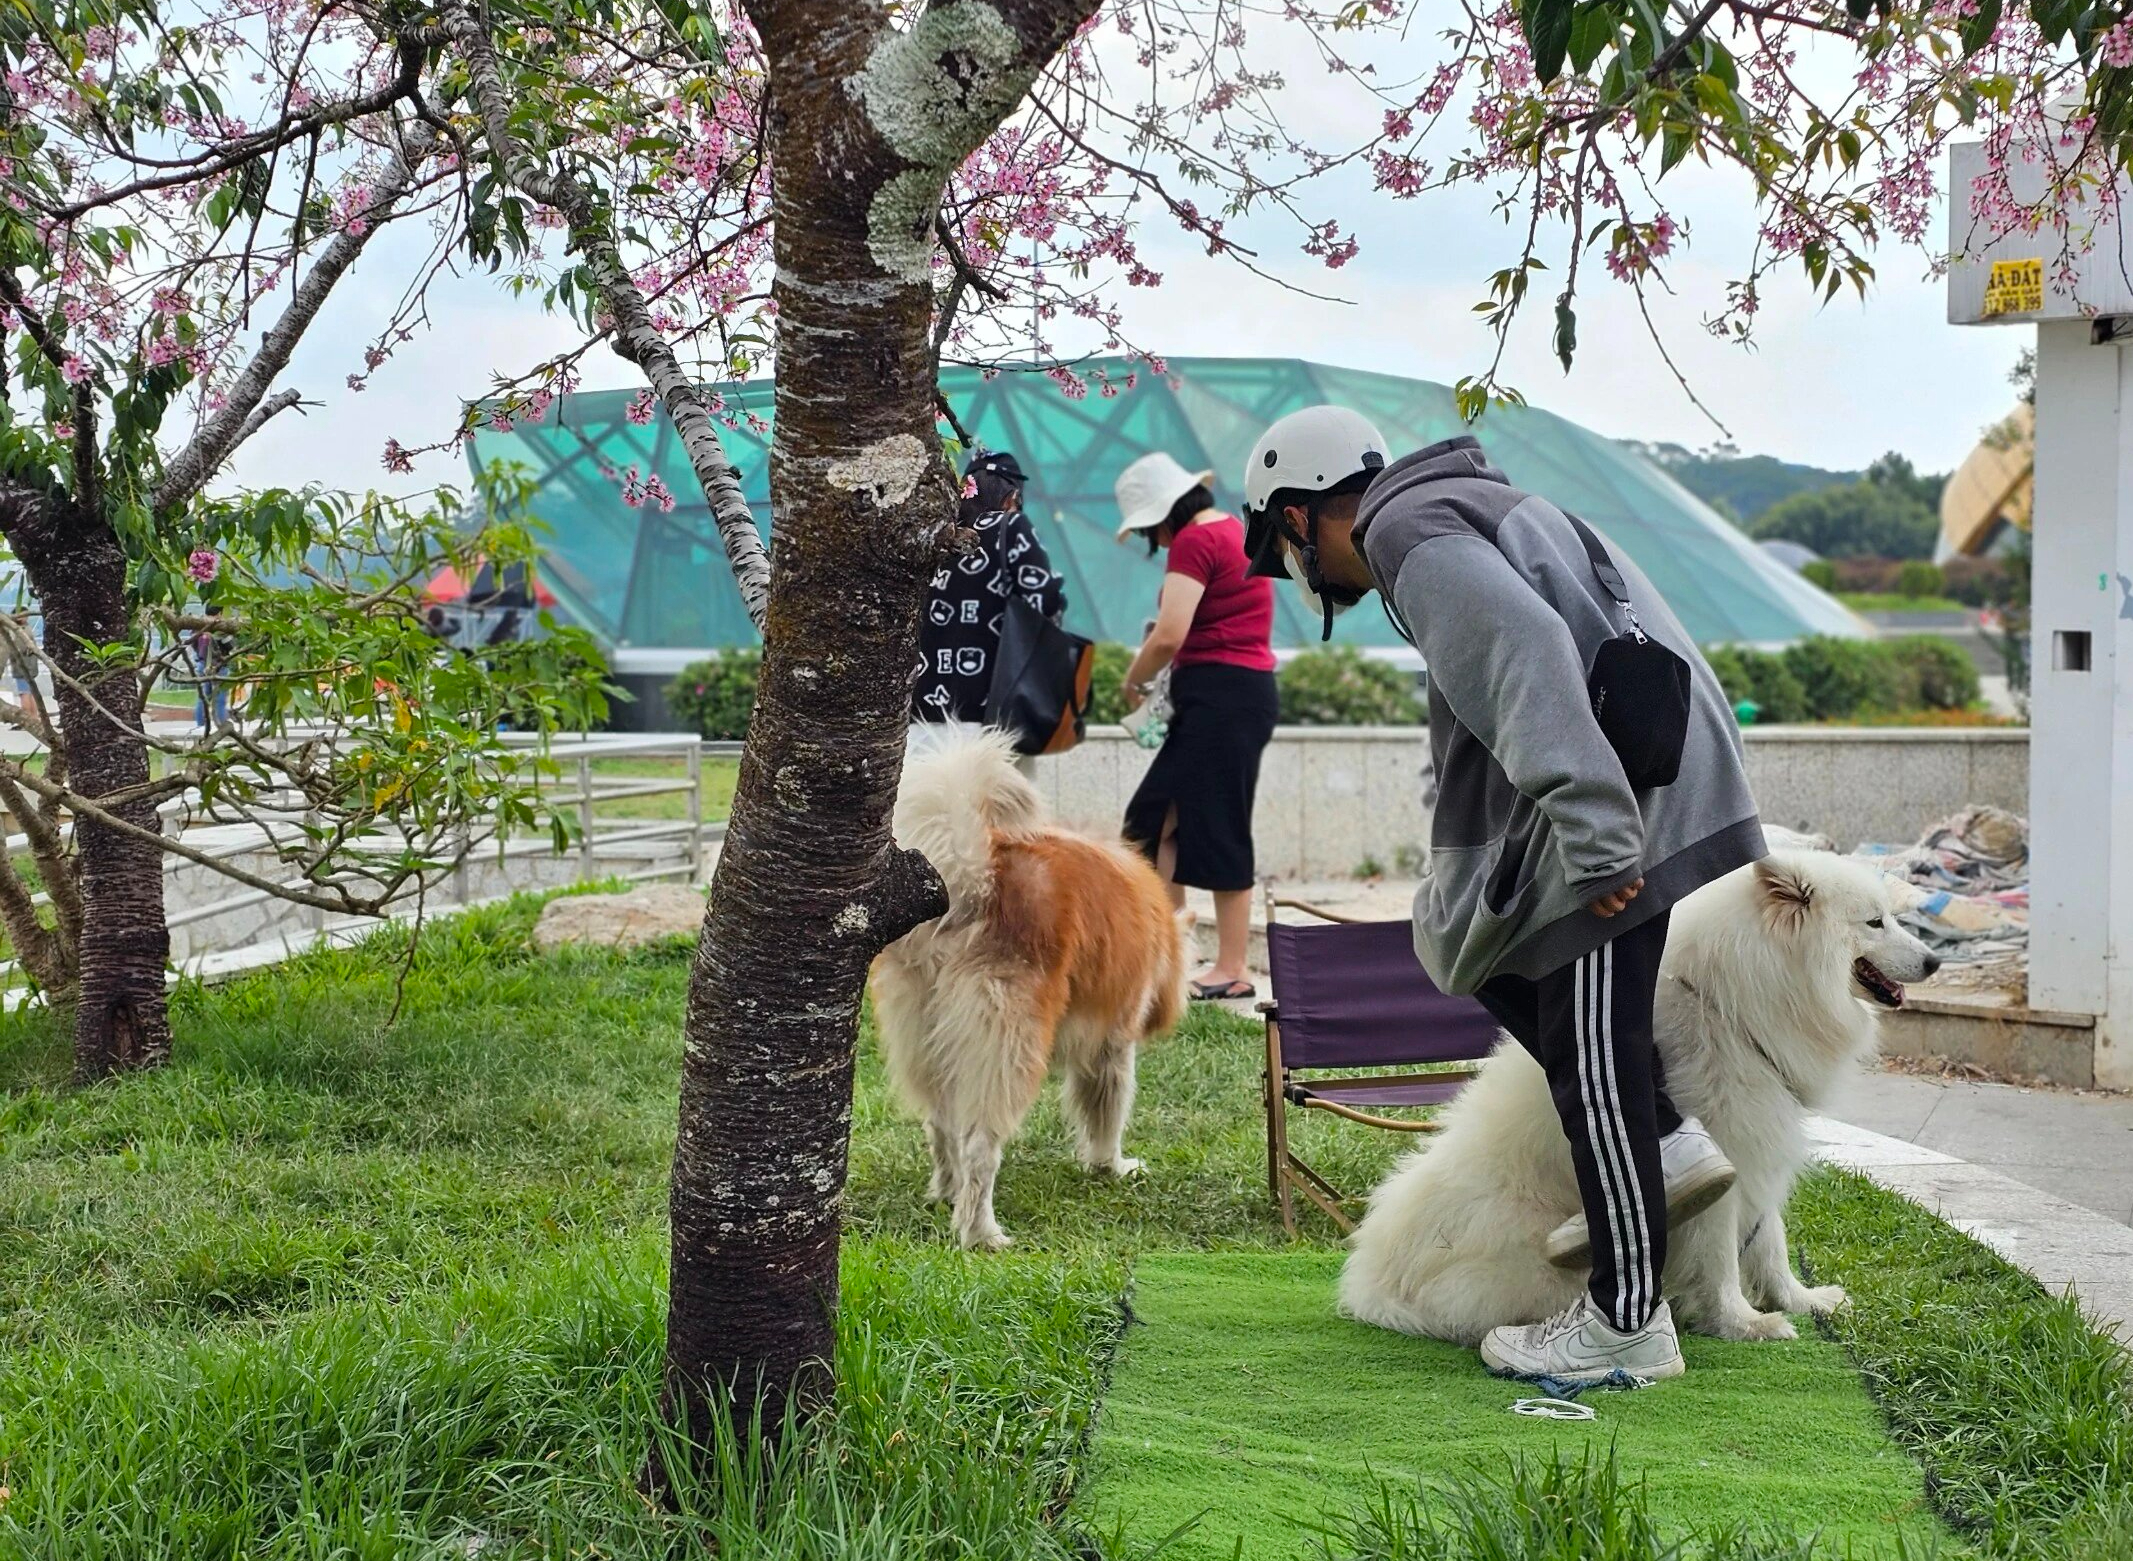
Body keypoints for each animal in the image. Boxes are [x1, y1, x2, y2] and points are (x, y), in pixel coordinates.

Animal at [874, 725, 1194, 1253]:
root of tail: (978, 880)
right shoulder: (1112, 1045)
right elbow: (1108, 1112)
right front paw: (1111, 1166)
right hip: (1007, 1045)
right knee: (979, 1146)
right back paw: (981, 1232)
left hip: (929, 1036)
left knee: (941, 1126)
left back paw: (946, 1194)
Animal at [1339, 848, 1945, 1347]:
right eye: (1875, 922)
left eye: (1891, 917)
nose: (1936, 963)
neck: (1732, 1005)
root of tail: (1373, 1286)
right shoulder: (1726, 1161)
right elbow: (1723, 1260)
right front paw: (1744, 1324)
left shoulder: (1760, 1144)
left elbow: (1771, 1242)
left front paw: (1802, 1300)